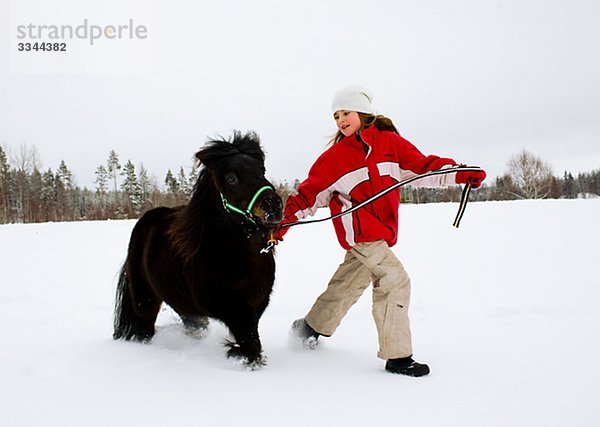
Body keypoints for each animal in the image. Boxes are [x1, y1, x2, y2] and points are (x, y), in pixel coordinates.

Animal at [114, 132, 284, 370]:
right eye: (231, 178)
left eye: (262, 170)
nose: (273, 205)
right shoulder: (220, 301)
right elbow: (246, 328)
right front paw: (244, 357)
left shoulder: (258, 299)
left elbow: (250, 328)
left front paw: (241, 353)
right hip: (145, 301)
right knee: (144, 329)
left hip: (181, 302)